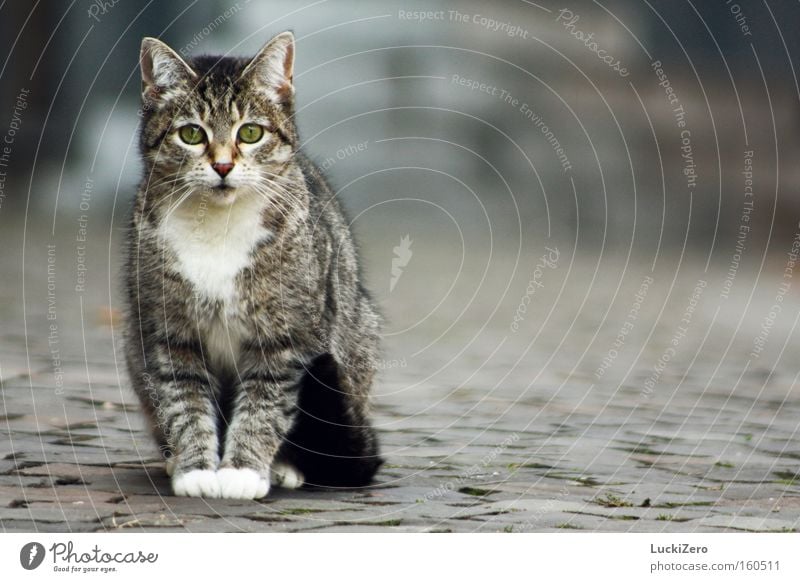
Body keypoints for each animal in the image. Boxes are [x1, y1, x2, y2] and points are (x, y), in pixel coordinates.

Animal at [125, 32, 384, 500]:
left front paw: (243, 470)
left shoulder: (284, 338)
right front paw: (195, 469)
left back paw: (284, 466)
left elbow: (264, 405)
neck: (218, 225)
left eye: (250, 132)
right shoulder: (169, 334)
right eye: (191, 134)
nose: (223, 165)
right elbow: (184, 402)